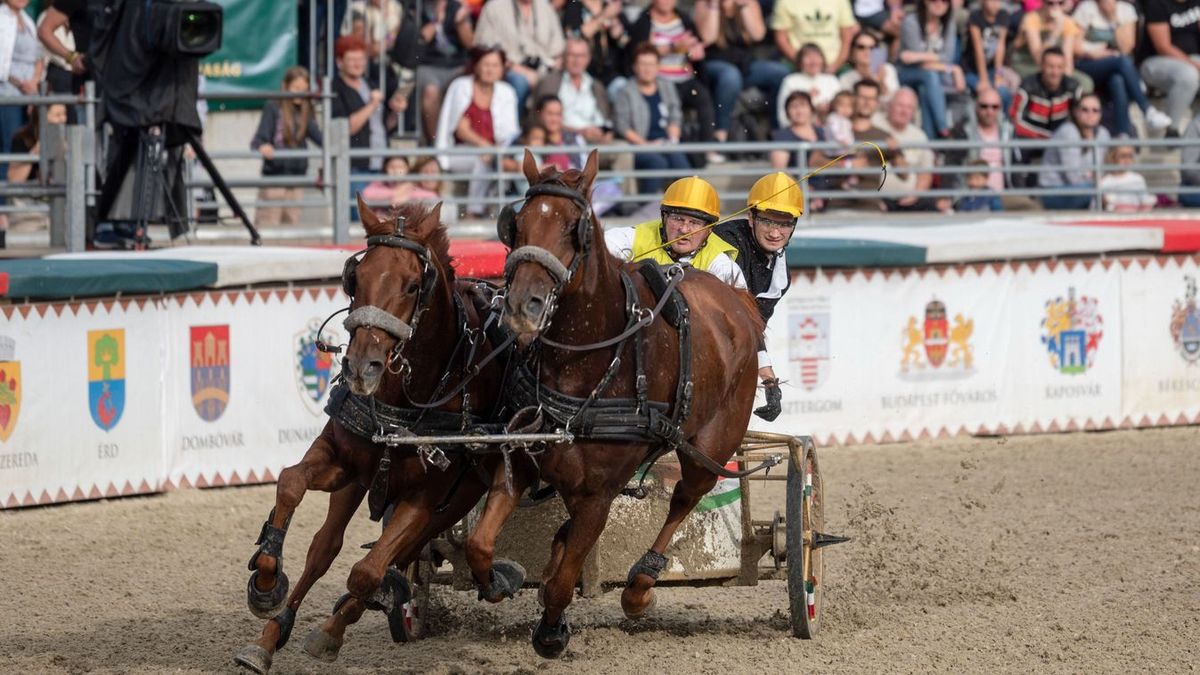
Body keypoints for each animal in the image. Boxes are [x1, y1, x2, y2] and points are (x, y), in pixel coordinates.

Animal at [236, 196, 504, 667]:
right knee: (324, 549)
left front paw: (334, 628)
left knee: (394, 557)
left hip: (457, 499)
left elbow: (367, 572)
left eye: (413, 286)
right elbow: (290, 484)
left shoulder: (426, 498)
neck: (403, 402)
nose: (362, 367)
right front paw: (266, 583)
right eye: (355, 277)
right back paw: (270, 637)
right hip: (360, 482)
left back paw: (362, 608)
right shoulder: (341, 458)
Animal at [463, 149, 763, 653]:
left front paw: (551, 630)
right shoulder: (521, 459)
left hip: (712, 446)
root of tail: (737, 300)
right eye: (516, 224)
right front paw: (501, 580)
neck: (584, 362)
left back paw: (640, 585)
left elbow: (565, 582)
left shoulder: (599, 495)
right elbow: (480, 545)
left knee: (684, 498)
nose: (522, 306)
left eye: (574, 227)